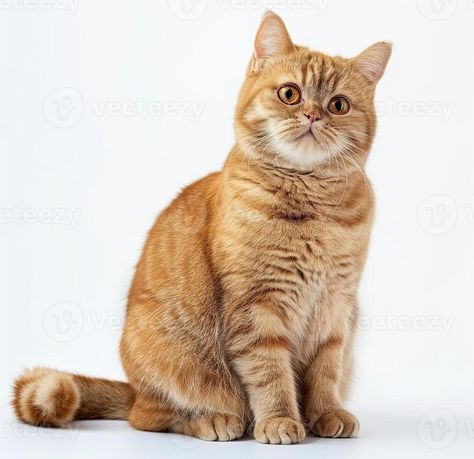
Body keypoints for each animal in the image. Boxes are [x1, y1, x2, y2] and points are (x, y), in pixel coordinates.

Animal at [12, 10, 390, 446]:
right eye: (290, 94)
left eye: (338, 105)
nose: (313, 114)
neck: (313, 209)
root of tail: (134, 390)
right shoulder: (256, 308)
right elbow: (270, 374)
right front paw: (280, 420)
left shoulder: (336, 308)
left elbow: (326, 372)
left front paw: (326, 413)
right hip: (171, 364)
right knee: (153, 416)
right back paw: (215, 420)